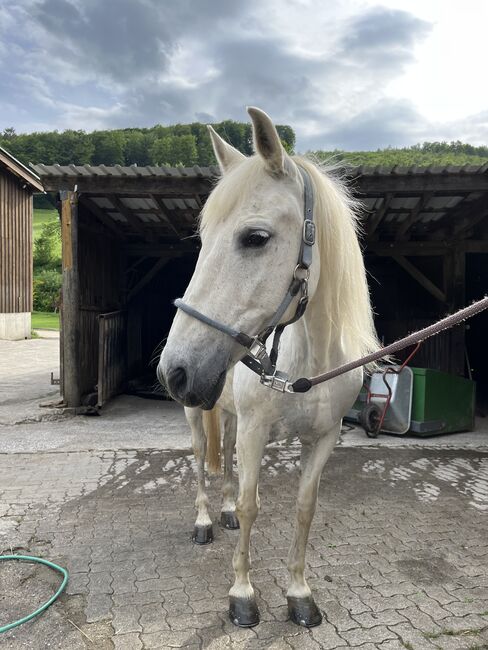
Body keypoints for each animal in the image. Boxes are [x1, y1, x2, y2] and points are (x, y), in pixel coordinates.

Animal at [158, 107, 380, 628]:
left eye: (255, 238)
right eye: (203, 240)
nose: (175, 371)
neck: (308, 366)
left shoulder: (323, 437)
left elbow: (303, 508)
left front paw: (299, 593)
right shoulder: (256, 431)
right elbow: (251, 504)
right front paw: (242, 594)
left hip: (228, 414)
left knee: (223, 465)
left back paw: (221, 513)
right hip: (196, 415)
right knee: (200, 459)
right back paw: (204, 520)